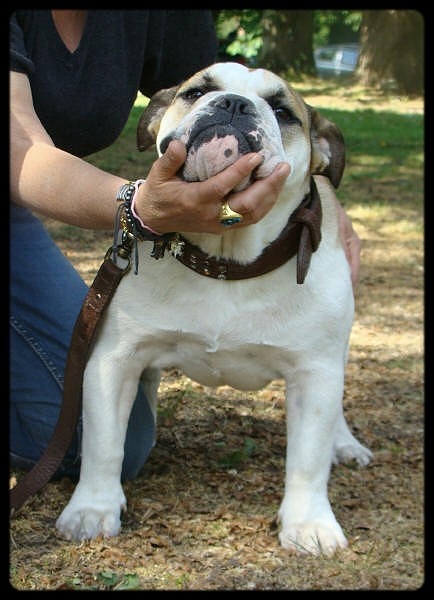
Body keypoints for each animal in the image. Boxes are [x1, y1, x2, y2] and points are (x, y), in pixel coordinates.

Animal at [56, 62, 372, 555]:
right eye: (196, 91)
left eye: (283, 111)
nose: (234, 104)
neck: (228, 259)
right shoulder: (114, 361)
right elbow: (104, 443)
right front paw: (92, 507)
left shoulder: (315, 374)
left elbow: (308, 458)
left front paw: (309, 523)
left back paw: (345, 444)